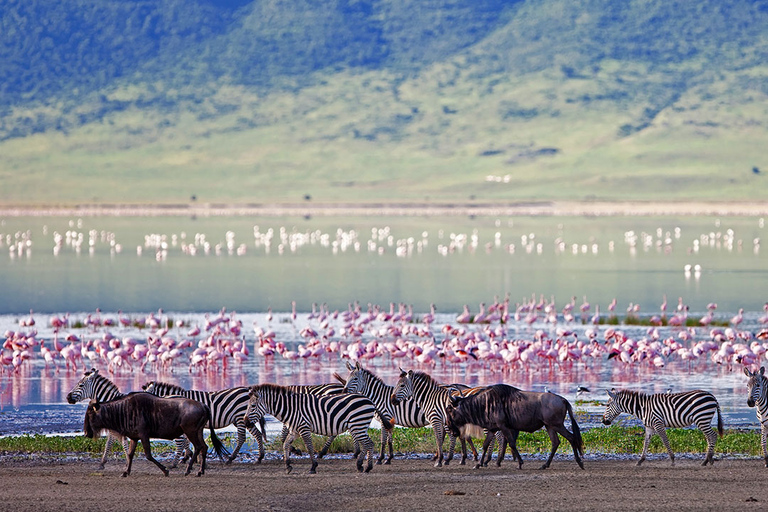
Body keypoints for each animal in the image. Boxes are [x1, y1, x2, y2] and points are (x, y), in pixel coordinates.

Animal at [244, 382, 376, 474]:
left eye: (253, 406)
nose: (245, 422)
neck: (291, 408)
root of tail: (369, 400)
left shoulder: (304, 428)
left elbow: (309, 446)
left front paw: (313, 466)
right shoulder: (294, 430)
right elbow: (285, 444)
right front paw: (288, 466)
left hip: (358, 425)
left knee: (369, 443)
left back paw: (367, 467)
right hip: (358, 426)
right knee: (368, 443)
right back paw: (361, 465)